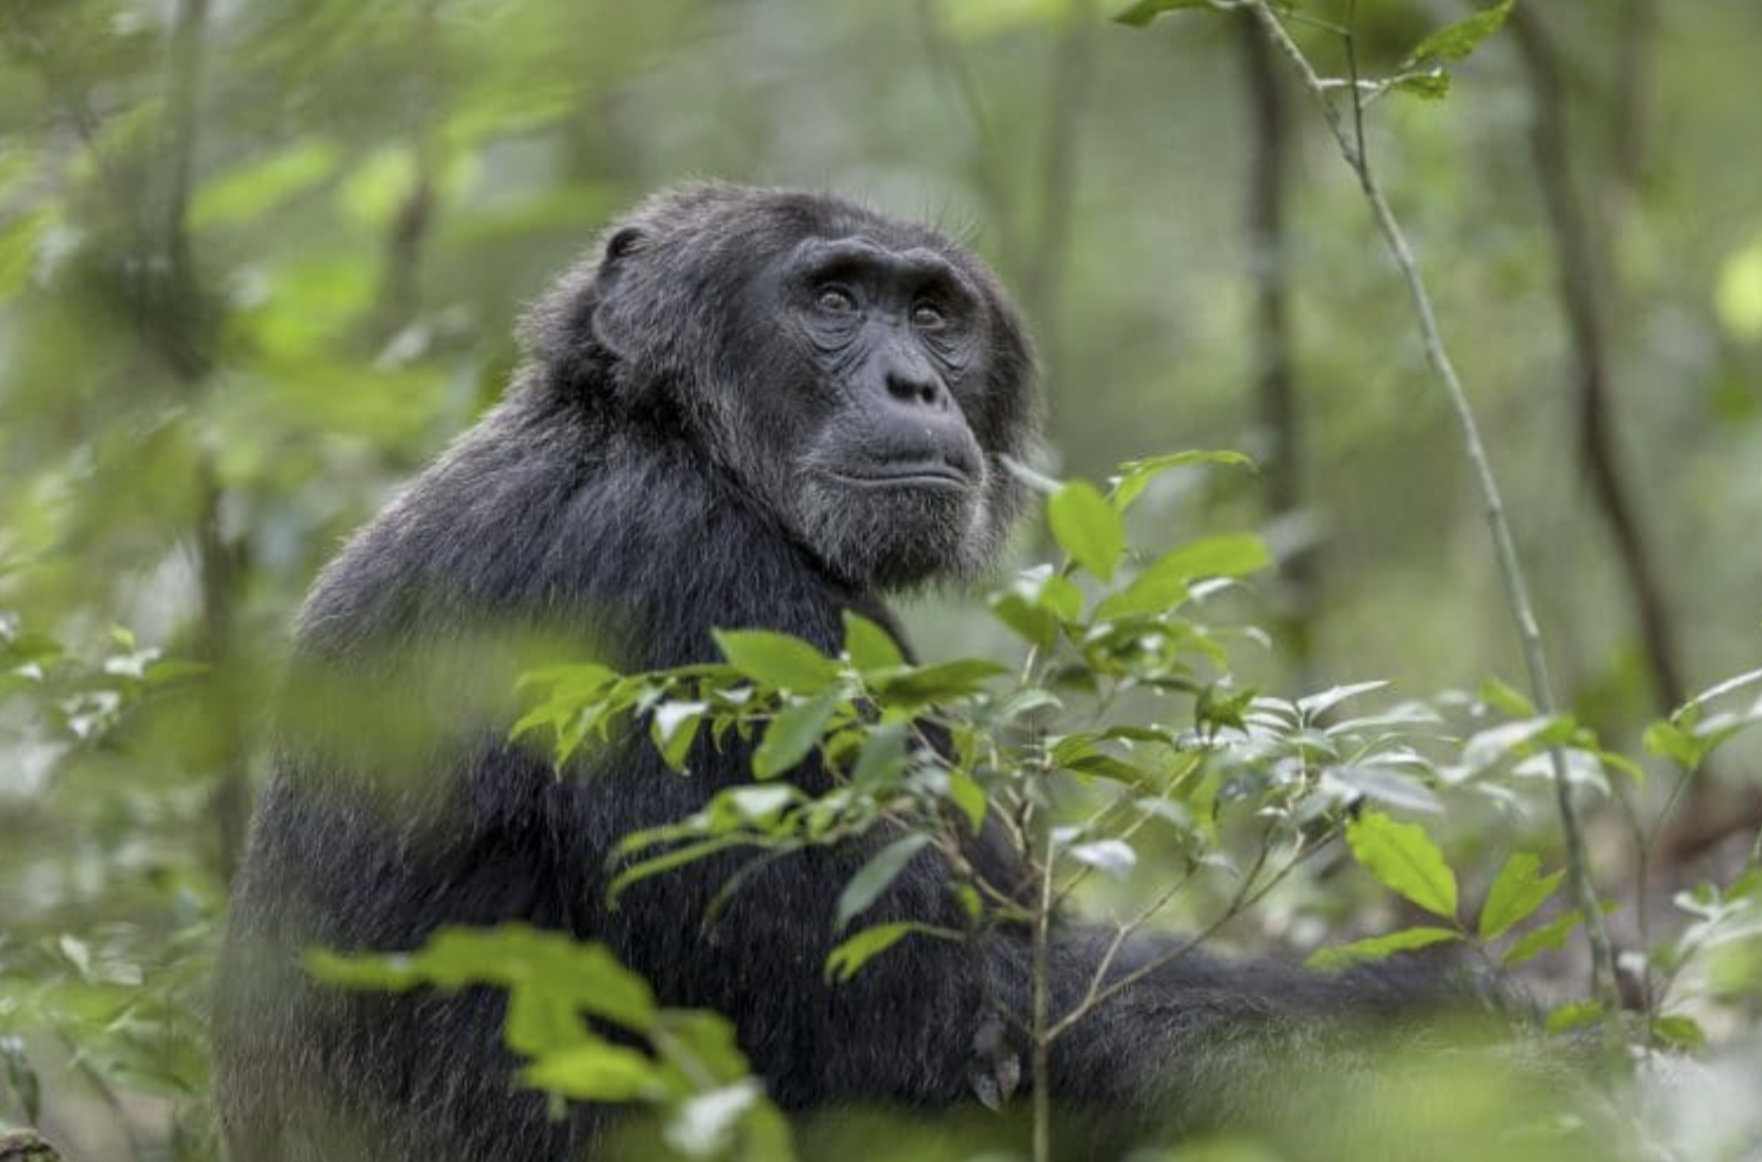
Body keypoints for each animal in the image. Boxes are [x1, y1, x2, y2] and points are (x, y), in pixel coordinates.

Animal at [209, 184, 1487, 1162]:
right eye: (832, 301)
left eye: (932, 313)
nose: (913, 384)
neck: (664, 438)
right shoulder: (694, 617)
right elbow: (939, 1027)